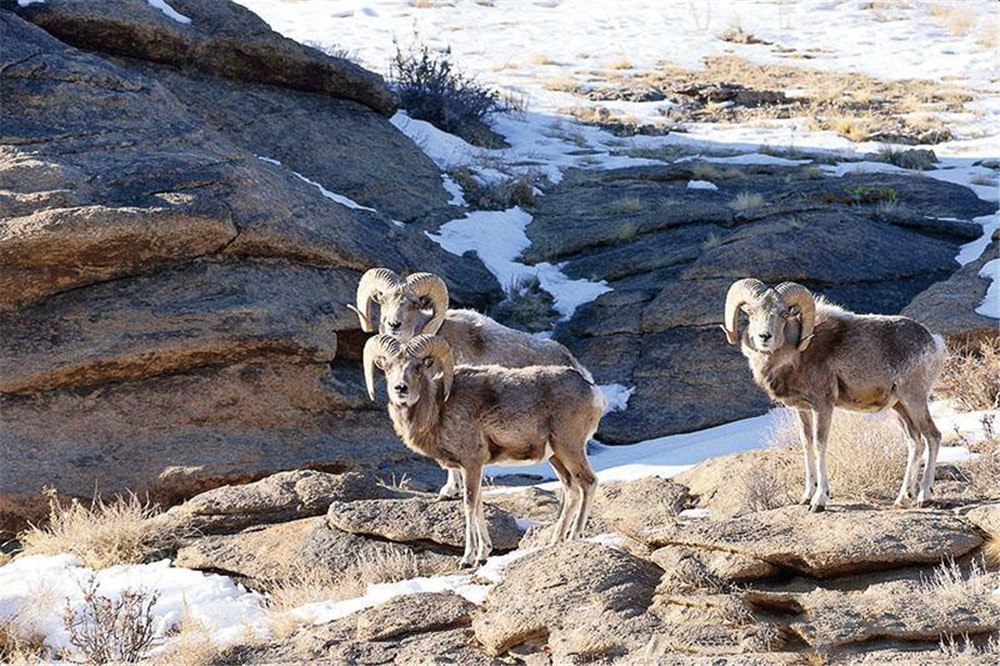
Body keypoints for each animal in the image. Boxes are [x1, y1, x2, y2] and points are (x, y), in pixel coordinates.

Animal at [366, 332, 600, 564]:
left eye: (418, 367)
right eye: (388, 367)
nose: (400, 388)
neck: (438, 408)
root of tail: (592, 392)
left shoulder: (472, 463)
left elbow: (469, 504)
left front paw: (468, 558)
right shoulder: (467, 468)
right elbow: (479, 502)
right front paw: (483, 554)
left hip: (570, 448)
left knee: (588, 483)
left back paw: (574, 535)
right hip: (556, 457)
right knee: (572, 490)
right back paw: (555, 541)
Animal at [724, 278, 940, 510]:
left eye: (782, 314)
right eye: (751, 312)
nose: (765, 336)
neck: (797, 356)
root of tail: (934, 342)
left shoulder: (823, 405)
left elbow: (820, 444)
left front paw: (819, 501)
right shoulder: (803, 410)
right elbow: (807, 445)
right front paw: (806, 497)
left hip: (914, 399)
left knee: (933, 436)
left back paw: (924, 496)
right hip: (899, 407)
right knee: (915, 442)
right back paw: (902, 498)